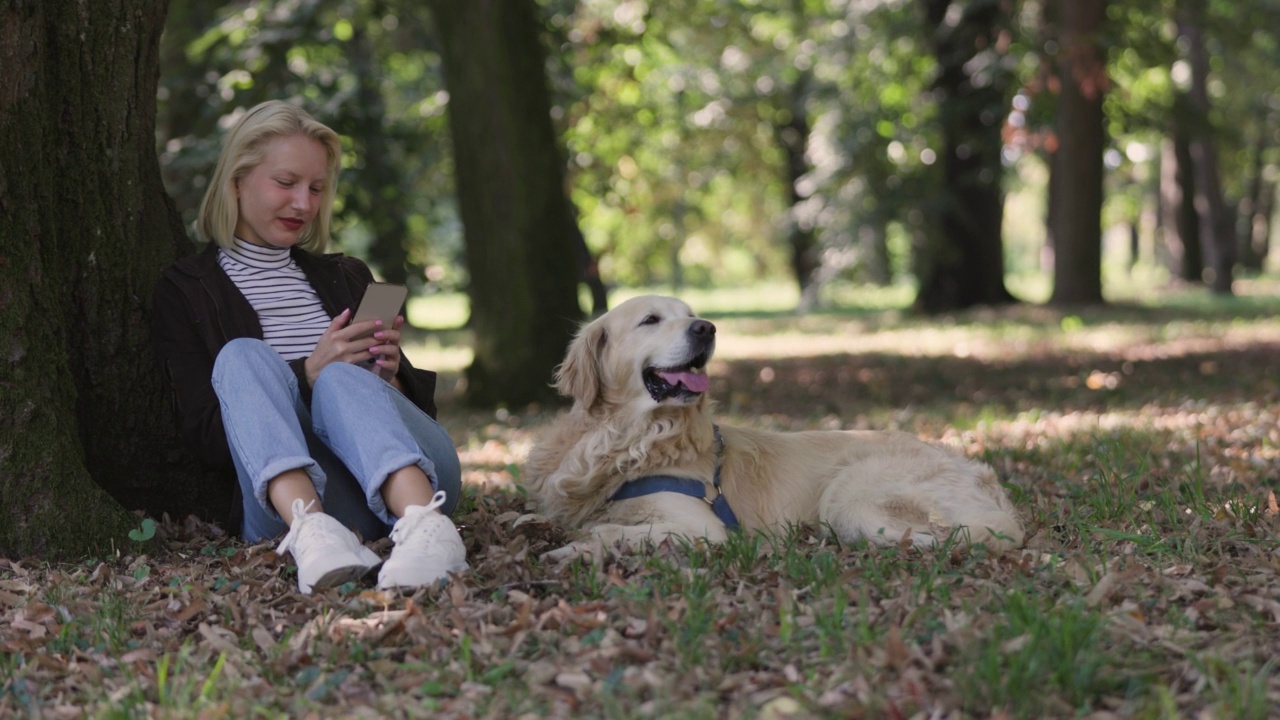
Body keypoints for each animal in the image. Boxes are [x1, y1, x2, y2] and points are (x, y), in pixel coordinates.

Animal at [524, 292, 1024, 556]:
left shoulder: (702, 528)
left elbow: (613, 531)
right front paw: (535, 523)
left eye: (691, 315)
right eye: (650, 319)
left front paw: (574, 547)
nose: (707, 328)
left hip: (851, 496)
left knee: (934, 539)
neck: (627, 439)